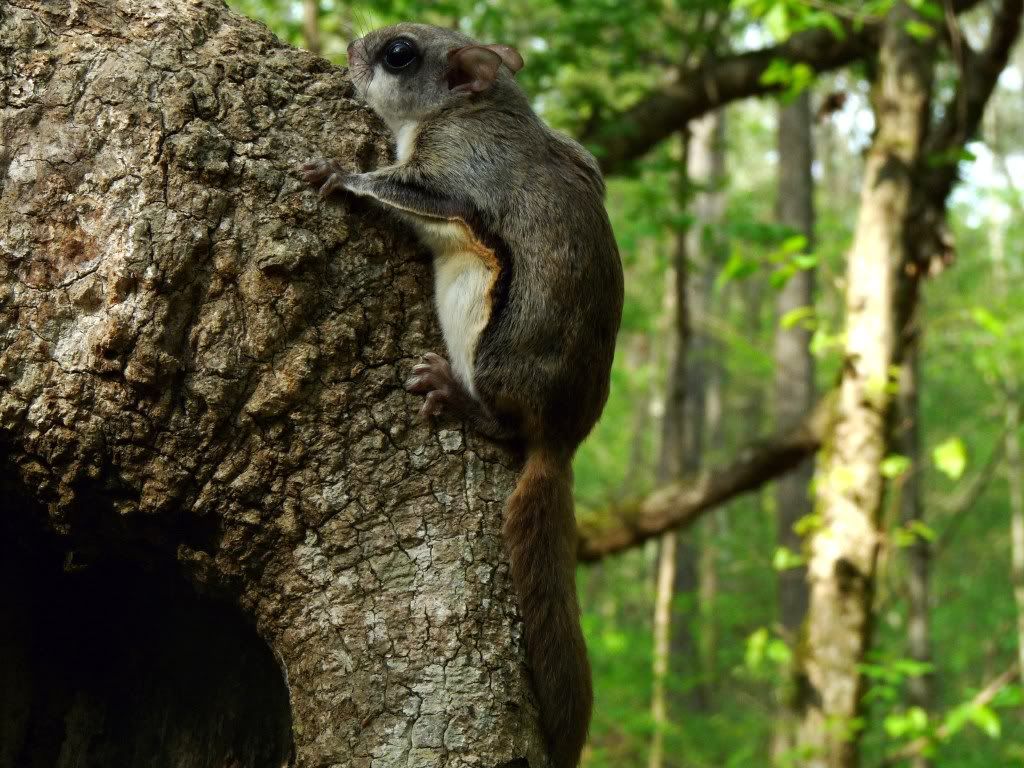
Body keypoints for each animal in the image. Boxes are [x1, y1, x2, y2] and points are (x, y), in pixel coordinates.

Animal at [299, 24, 622, 768]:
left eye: (398, 53)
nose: (350, 46)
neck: (474, 108)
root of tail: (561, 438)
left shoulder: (463, 170)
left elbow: (416, 192)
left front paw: (336, 173)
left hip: (486, 333)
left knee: (501, 424)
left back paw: (454, 392)